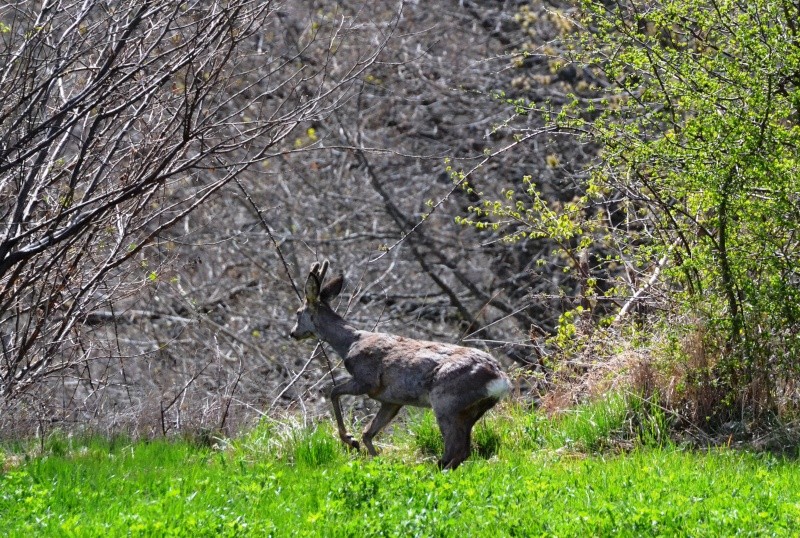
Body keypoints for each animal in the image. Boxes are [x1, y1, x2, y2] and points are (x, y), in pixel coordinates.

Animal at [290, 262, 510, 466]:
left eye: (298, 312)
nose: (293, 333)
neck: (349, 343)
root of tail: (500, 379)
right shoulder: (391, 400)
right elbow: (368, 432)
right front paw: (374, 458)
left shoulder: (366, 380)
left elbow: (334, 392)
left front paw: (350, 440)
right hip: (471, 410)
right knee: (463, 451)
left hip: (446, 402)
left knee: (455, 451)